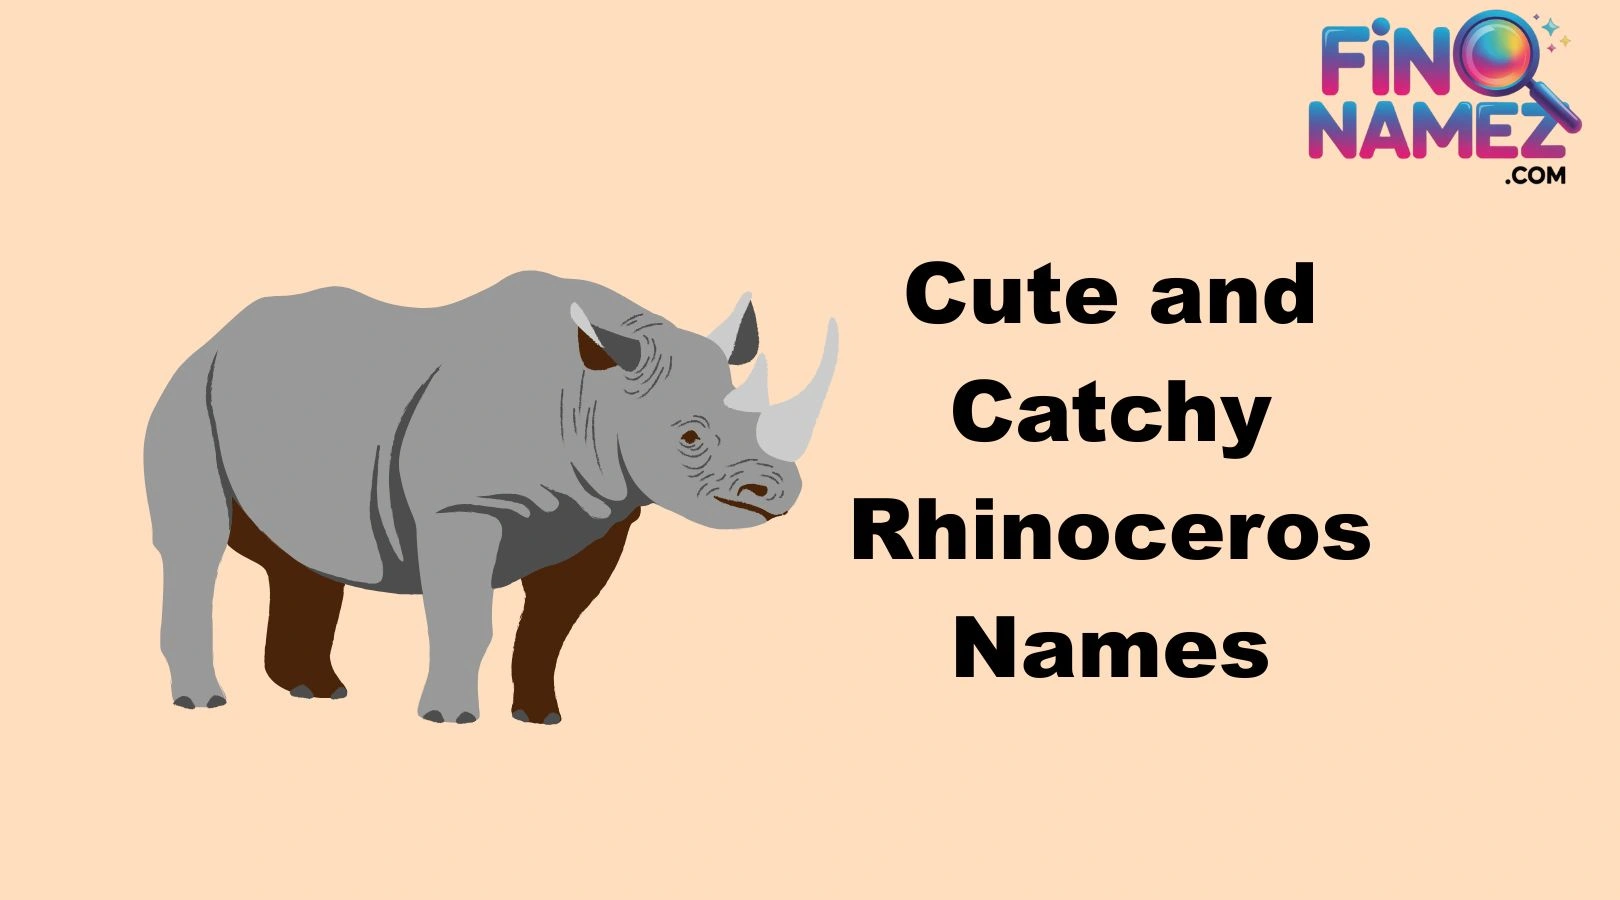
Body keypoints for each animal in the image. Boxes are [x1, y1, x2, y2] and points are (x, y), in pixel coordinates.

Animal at [143, 271, 837, 724]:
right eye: (689, 436)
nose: (773, 489)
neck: (593, 391)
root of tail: (213, 337)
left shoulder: (599, 518)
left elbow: (551, 628)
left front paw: (540, 717)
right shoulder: (466, 507)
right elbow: (466, 617)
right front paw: (449, 719)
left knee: (304, 553)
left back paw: (318, 694)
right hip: (187, 392)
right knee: (195, 546)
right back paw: (204, 704)